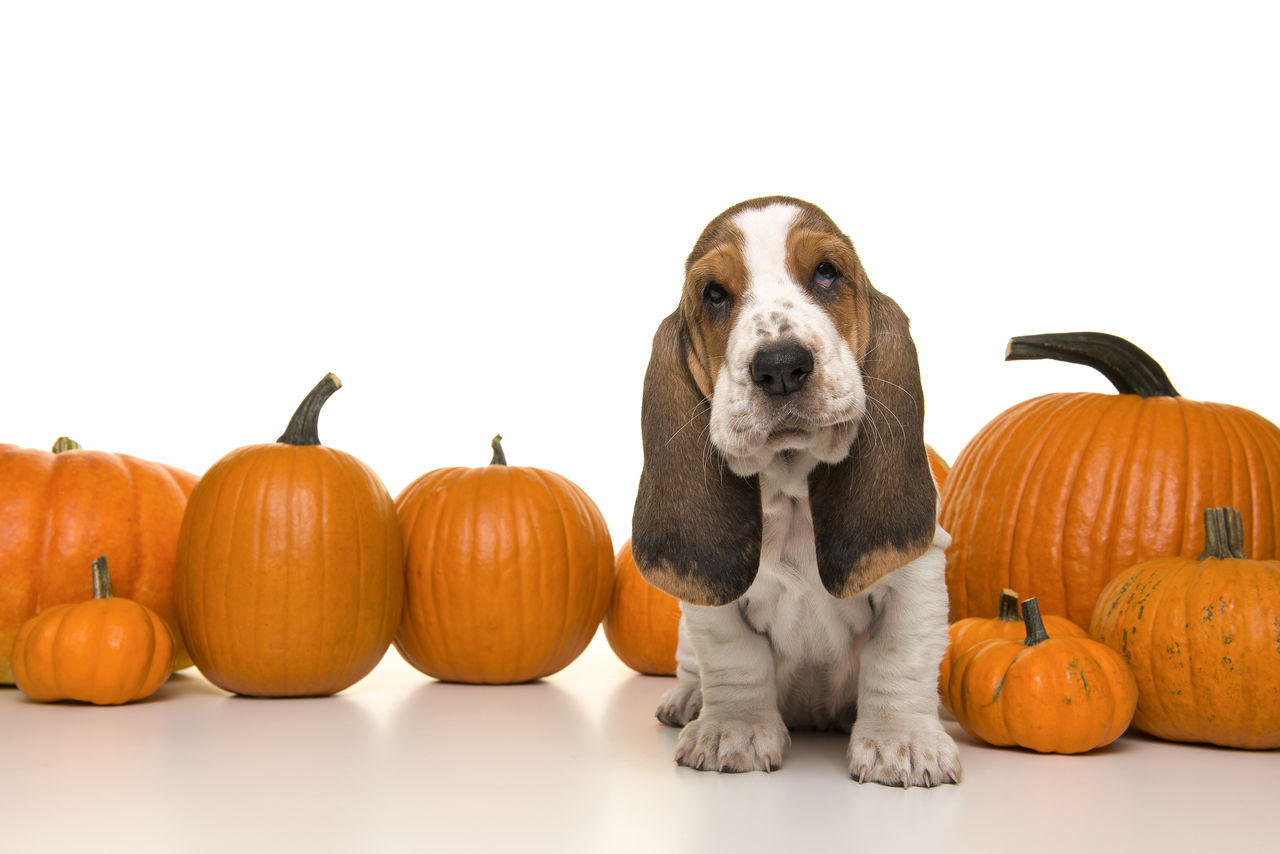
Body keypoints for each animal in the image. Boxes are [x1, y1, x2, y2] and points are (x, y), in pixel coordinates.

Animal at [629, 197, 962, 783]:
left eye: (826, 272)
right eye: (714, 294)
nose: (781, 366)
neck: (791, 489)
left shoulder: (917, 575)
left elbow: (899, 658)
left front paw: (901, 742)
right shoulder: (711, 607)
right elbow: (735, 658)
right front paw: (732, 731)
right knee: (692, 665)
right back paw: (688, 700)